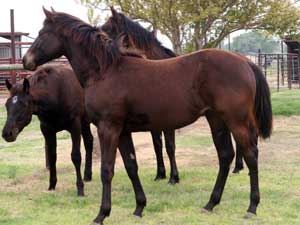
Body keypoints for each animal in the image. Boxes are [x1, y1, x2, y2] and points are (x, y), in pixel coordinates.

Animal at [1, 64, 94, 195]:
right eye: (6, 105)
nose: (7, 133)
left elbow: (76, 156)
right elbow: (52, 157)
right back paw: (87, 175)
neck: (56, 94)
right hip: (85, 122)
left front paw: (80, 188)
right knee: (89, 141)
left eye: (24, 105)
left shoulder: (75, 126)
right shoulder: (47, 131)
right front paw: (52, 185)